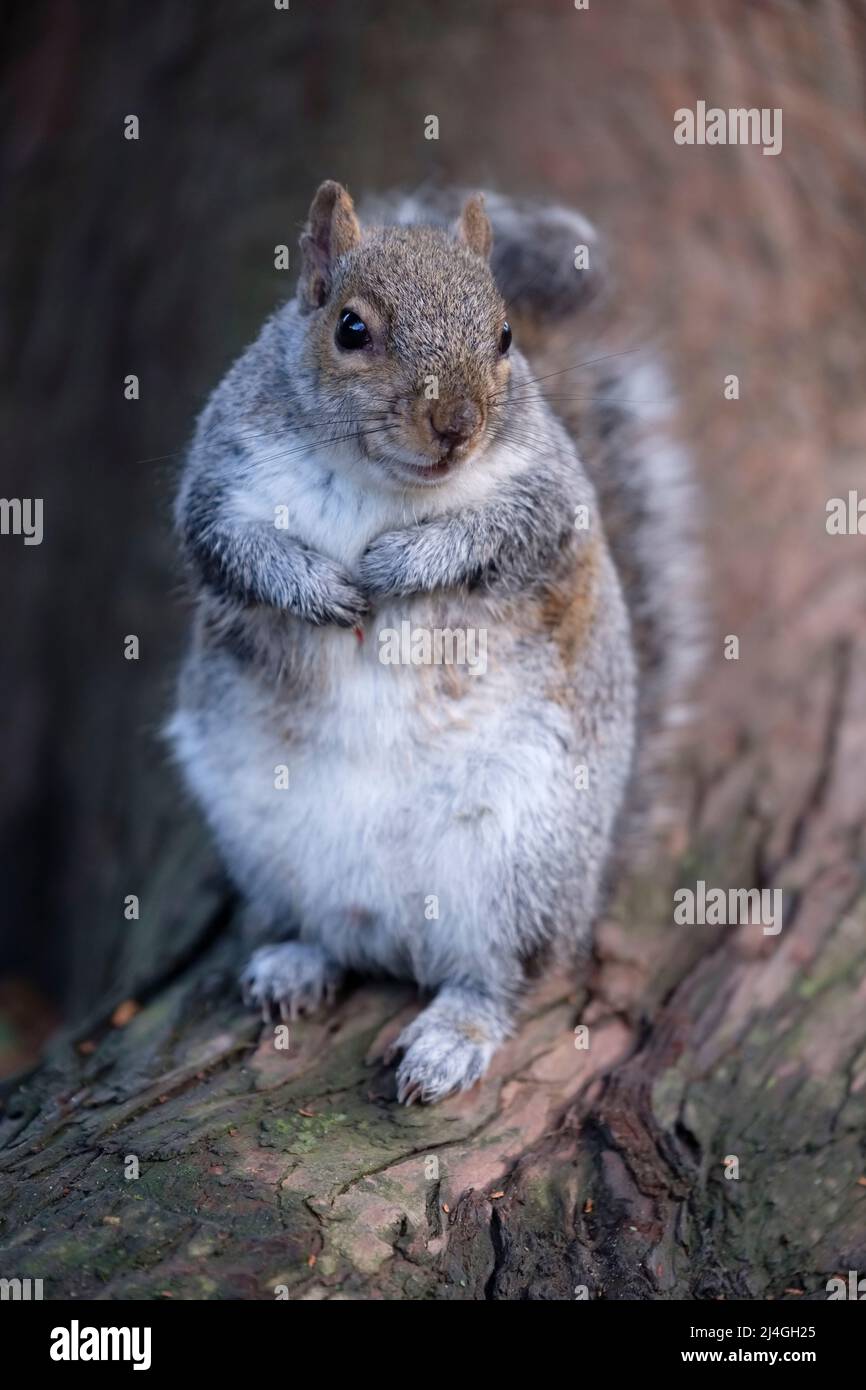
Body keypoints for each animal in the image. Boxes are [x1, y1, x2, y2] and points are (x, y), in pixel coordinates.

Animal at [168, 180, 701, 1104]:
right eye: (350, 328)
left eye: (506, 336)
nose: (456, 424)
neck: (378, 481)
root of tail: (392, 930)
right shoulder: (221, 473)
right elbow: (227, 547)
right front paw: (313, 586)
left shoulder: (549, 496)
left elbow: (497, 534)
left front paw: (405, 562)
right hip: (262, 842)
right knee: (325, 934)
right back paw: (295, 964)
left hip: (518, 863)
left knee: (500, 978)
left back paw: (452, 1036)